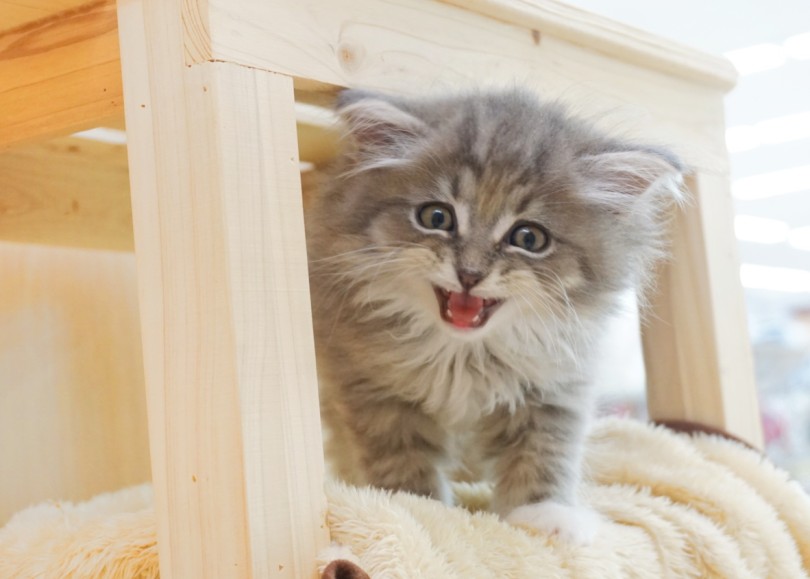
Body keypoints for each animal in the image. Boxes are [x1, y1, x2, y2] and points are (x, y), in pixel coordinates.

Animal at [304, 86, 680, 544]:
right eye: (436, 217)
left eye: (529, 238)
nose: (469, 274)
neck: (464, 356)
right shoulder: (369, 386)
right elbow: (400, 459)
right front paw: (418, 507)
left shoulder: (554, 385)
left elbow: (545, 453)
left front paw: (544, 516)